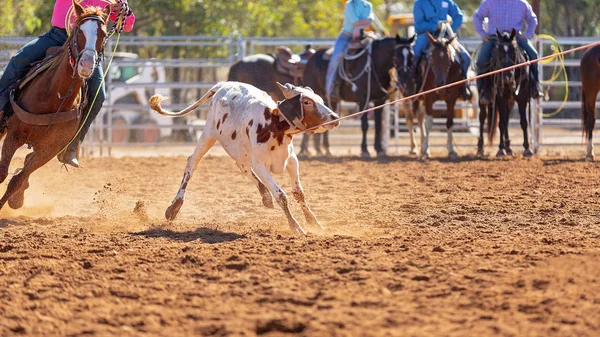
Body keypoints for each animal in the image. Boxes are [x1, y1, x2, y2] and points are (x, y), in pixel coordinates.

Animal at [0, 2, 108, 209]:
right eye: (79, 31)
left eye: (104, 34)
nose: (86, 64)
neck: (54, 96)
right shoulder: (13, 135)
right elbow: (2, 173)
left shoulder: (48, 150)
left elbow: (16, 180)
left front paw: (14, 197)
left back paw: (18, 198)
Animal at [148, 81, 340, 234]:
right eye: (307, 102)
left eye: (320, 99)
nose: (335, 118)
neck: (274, 124)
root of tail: (223, 84)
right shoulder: (261, 165)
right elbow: (281, 195)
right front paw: (296, 227)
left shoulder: (292, 161)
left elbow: (299, 193)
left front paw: (314, 223)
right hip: (208, 134)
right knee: (192, 163)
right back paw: (174, 207)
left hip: (239, 149)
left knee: (243, 167)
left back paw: (265, 196)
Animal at [480, 28, 532, 157]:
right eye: (499, 51)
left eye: (514, 51)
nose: (507, 77)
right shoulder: (500, 97)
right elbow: (501, 123)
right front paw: (500, 149)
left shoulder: (522, 96)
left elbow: (523, 122)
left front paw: (527, 148)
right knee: (482, 117)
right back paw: (481, 148)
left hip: (510, 100)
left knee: (507, 117)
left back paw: (508, 147)